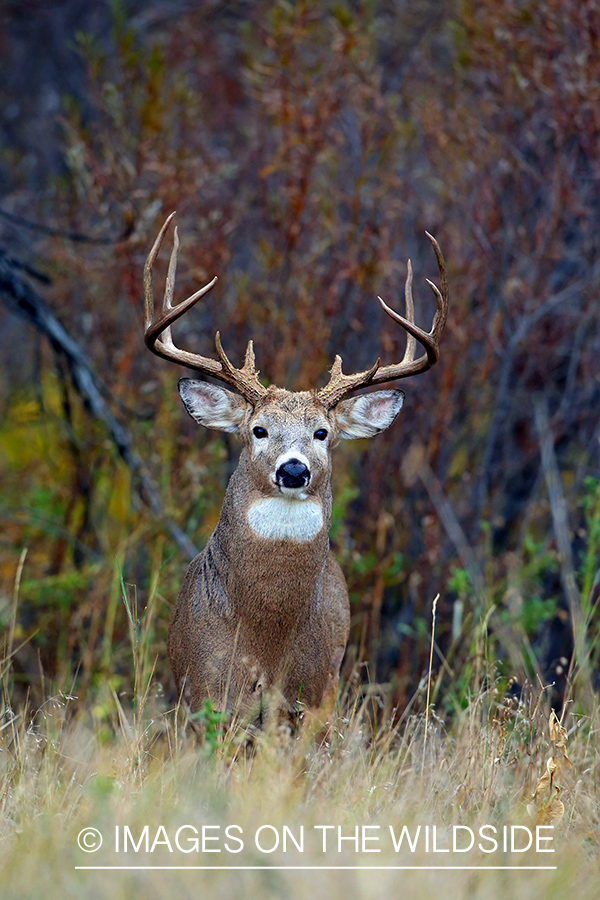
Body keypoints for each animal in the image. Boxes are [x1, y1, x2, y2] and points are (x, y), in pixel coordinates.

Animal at [143, 212, 448, 721]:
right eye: (259, 430)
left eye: (322, 433)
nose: (292, 471)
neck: (265, 640)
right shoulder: (206, 691)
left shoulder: (313, 693)